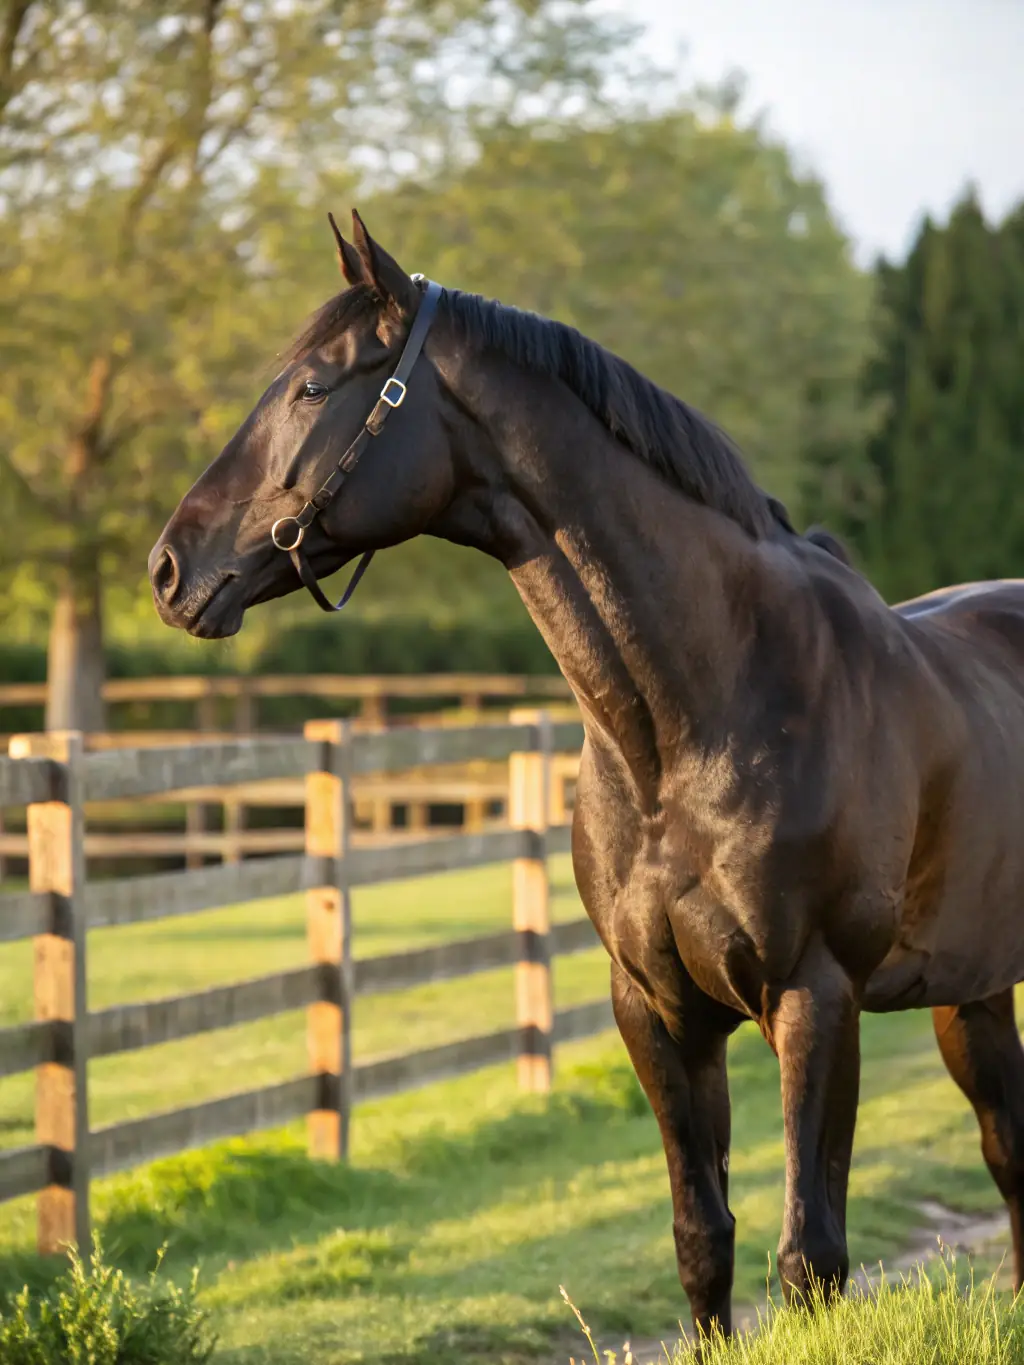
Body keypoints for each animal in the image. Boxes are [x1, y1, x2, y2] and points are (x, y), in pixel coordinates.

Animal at [148, 211, 1024, 1340]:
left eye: (311, 385)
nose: (170, 568)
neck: (702, 716)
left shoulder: (814, 995)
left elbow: (810, 1256)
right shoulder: (655, 1008)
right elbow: (703, 1239)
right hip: (975, 990)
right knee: (1009, 1149)